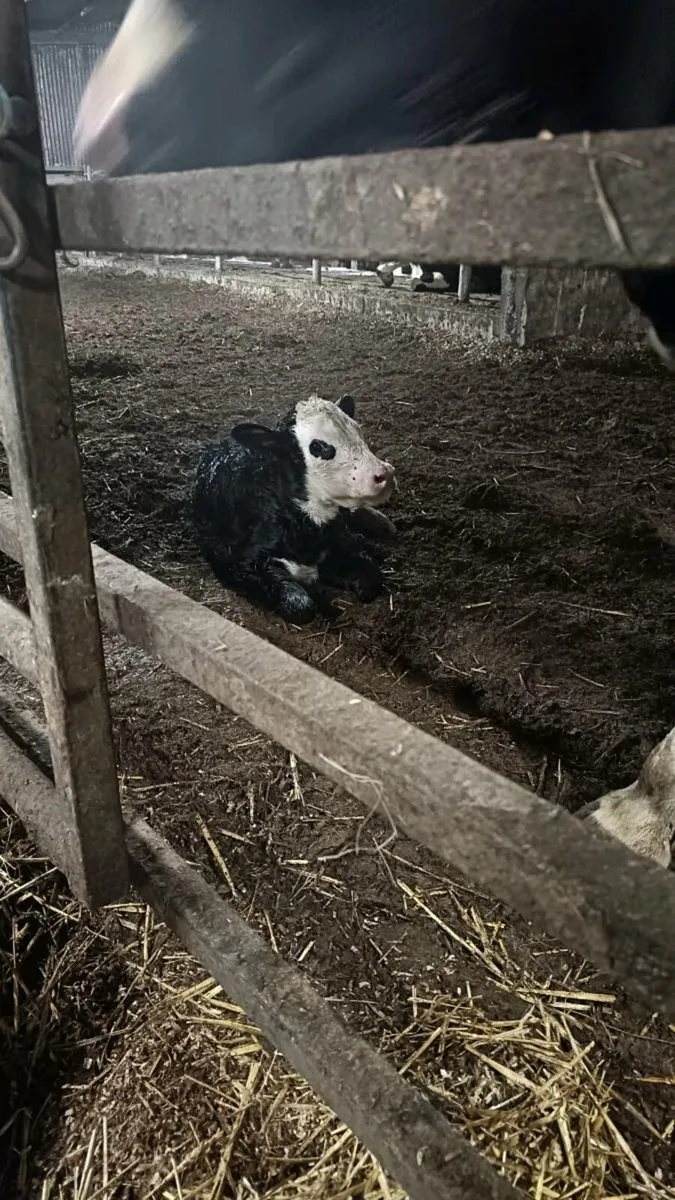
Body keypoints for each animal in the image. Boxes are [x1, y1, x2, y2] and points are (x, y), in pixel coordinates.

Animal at [192, 394, 396, 624]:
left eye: (357, 431)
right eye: (317, 447)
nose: (385, 474)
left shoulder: (341, 540)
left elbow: (372, 579)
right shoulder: (235, 563)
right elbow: (301, 606)